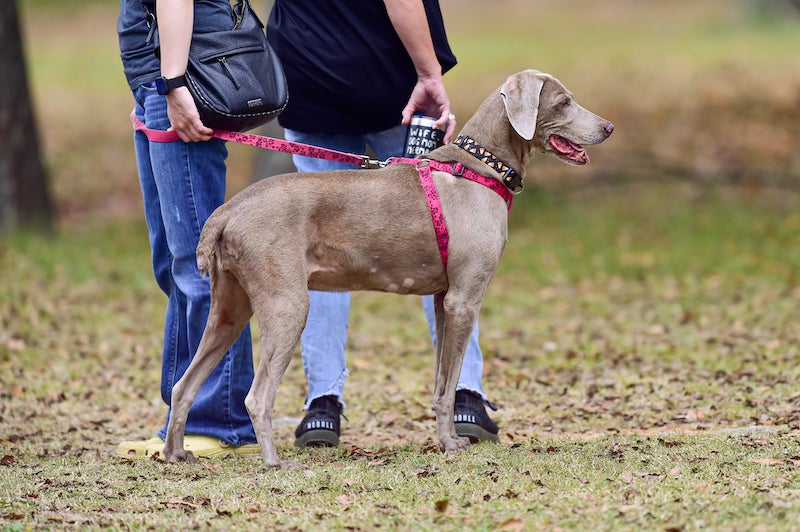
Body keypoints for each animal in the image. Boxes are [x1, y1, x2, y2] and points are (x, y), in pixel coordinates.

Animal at [159, 69, 616, 466]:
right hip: (287, 304)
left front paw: (446, 439)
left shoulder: (443, 300)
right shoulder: (465, 301)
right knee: (257, 396)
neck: (480, 167)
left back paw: (176, 454)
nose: (609, 127)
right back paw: (275, 462)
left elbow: (440, 383)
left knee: (184, 384)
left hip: (229, 309)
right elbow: (451, 383)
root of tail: (229, 209)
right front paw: (452, 445)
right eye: (563, 102)